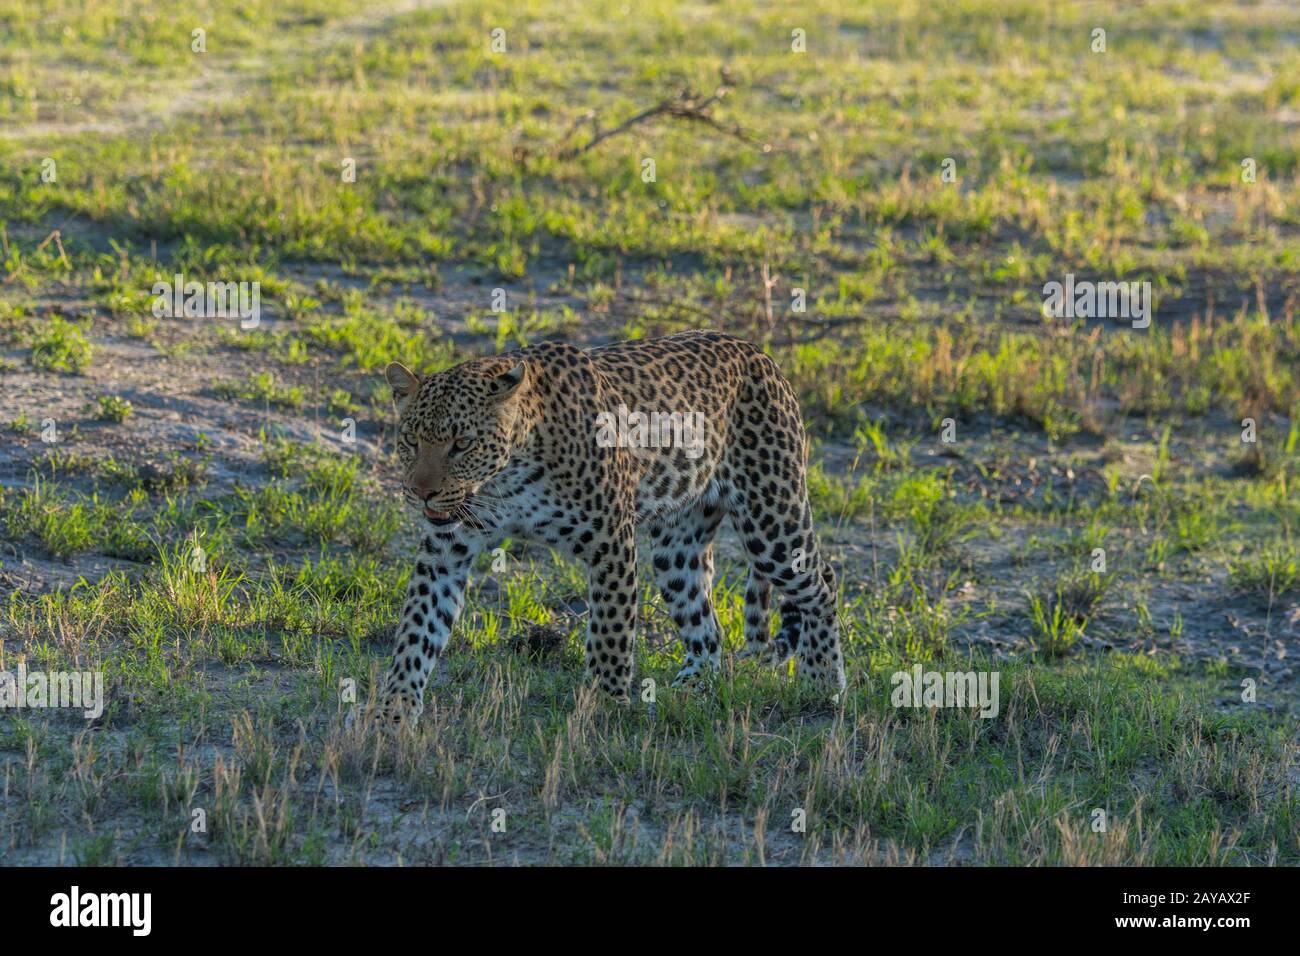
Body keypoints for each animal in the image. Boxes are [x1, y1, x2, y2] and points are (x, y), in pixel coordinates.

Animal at [376, 330, 845, 730]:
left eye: (462, 444)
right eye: (411, 440)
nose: (421, 493)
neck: (504, 478)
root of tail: (759, 353)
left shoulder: (611, 540)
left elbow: (610, 633)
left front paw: (604, 707)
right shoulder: (446, 550)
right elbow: (417, 630)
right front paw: (393, 714)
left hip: (772, 520)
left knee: (822, 581)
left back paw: (823, 681)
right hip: (677, 549)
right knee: (706, 627)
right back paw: (690, 689)